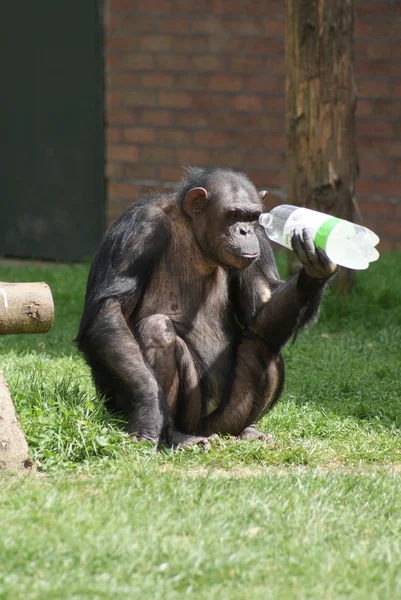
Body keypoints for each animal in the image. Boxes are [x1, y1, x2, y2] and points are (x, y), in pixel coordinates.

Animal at [75, 166, 334, 448]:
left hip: (226, 418)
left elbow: (259, 311)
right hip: (184, 414)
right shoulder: (139, 229)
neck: (194, 234)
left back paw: (249, 431)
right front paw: (149, 410)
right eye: (233, 215)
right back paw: (177, 436)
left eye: (252, 217)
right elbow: (110, 309)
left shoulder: (261, 240)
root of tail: (208, 431)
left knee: (262, 344)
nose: (245, 231)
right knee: (157, 329)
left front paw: (315, 269)